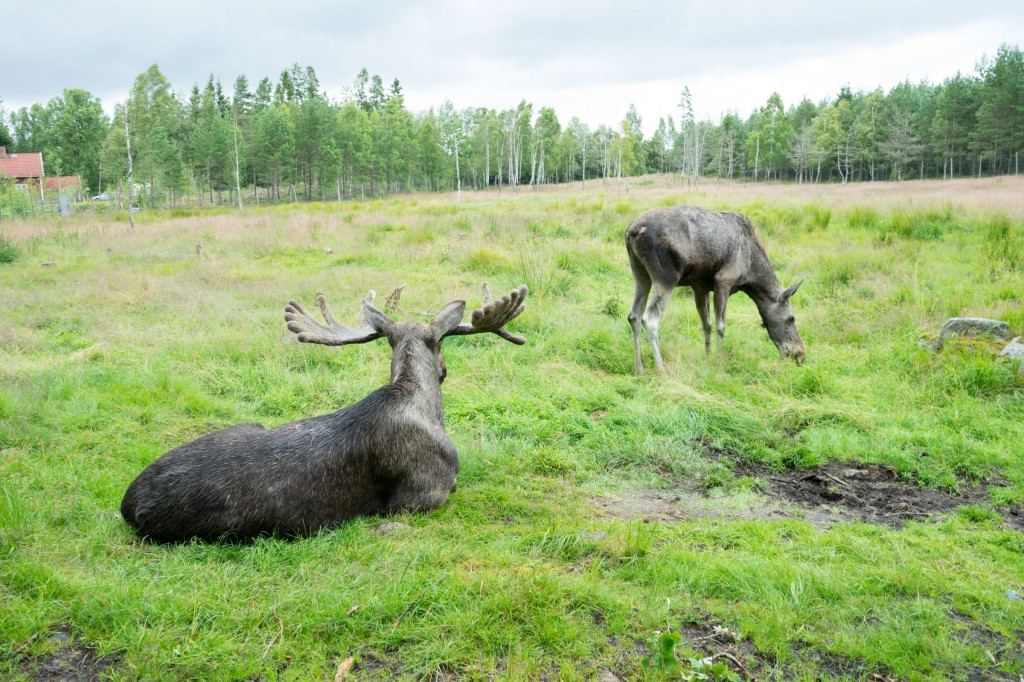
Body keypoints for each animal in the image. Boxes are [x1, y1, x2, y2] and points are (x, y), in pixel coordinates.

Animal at [119, 282, 528, 540]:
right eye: (441, 346)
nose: (444, 369)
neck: (422, 401)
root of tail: (128, 505)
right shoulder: (423, 494)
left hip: (248, 424)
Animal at [622, 204, 806, 372]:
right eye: (791, 318)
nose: (801, 354)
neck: (751, 273)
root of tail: (631, 231)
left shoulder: (699, 287)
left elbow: (707, 324)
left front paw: (708, 356)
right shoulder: (723, 280)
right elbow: (721, 327)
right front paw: (719, 359)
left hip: (640, 275)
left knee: (634, 316)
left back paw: (640, 368)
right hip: (666, 277)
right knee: (650, 320)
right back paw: (661, 369)